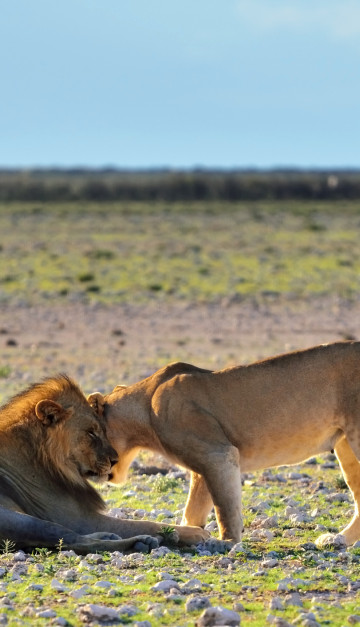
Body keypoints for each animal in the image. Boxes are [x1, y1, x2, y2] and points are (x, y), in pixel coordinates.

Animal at [0, 376, 208, 552]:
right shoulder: (77, 519)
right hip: (26, 520)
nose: (115, 460)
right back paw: (139, 543)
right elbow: (144, 524)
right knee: (74, 541)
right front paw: (196, 533)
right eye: (91, 432)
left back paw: (111, 536)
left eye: (105, 430)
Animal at [89, 344, 360, 548]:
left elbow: (225, 505)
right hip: (345, 447)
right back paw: (338, 539)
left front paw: (227, 542)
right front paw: (189, 534)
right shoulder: (202, 465)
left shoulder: (217, 453)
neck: (145, 407)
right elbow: (194, 509)